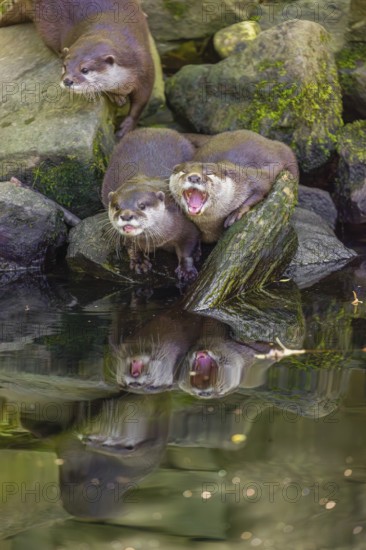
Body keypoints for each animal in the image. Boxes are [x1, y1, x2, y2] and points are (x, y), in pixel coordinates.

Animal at [31, 0, 154, 138]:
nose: (67, 80)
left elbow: (141, 101)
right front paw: (116, 96)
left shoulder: (145, 68)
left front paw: (127, 126)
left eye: (85, 69)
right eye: (64, 66)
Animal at [170, 132, 298, 244]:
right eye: (184, 171)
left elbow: (262, 189)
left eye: (209, 173)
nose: (194, 177)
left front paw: (235, 214)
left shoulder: (252, 177)